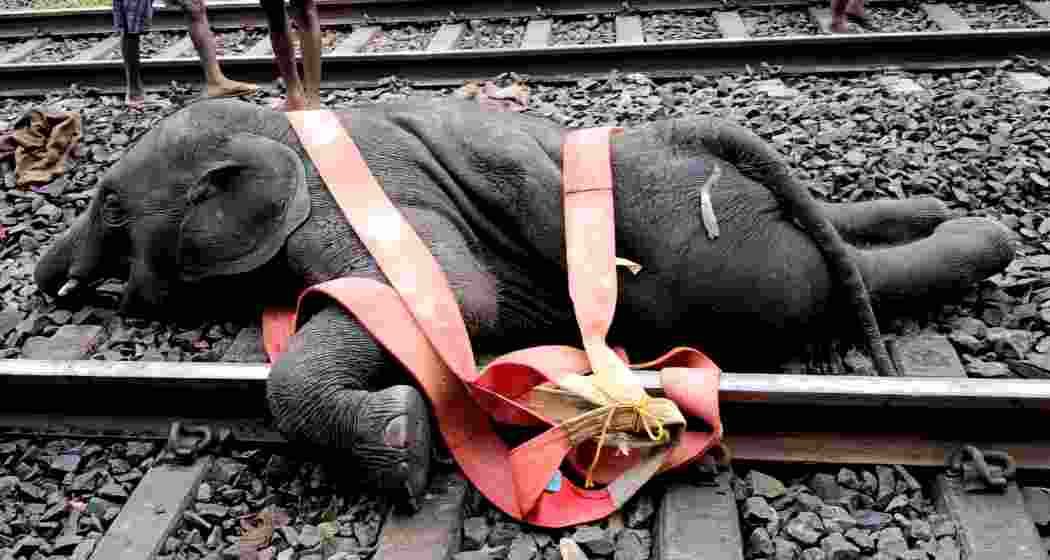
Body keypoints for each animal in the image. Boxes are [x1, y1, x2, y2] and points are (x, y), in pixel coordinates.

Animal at [34, 97, 1014, 506]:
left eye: (110, 205)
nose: (51, 285)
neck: (281, 127)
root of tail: (697, 134)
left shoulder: (375, 192)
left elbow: (456, 298)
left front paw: (404, 448)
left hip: (714, 254)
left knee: (811, 283)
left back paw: (989, 242)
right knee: (834, 236)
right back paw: (947, 218)